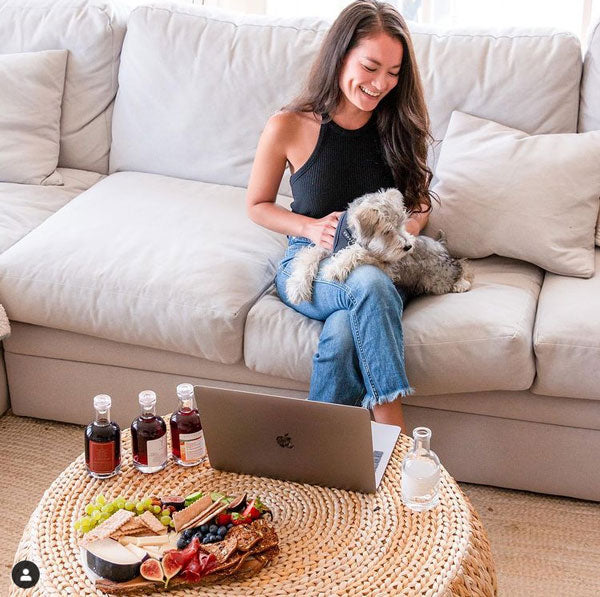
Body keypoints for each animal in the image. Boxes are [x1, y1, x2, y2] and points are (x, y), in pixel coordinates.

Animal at [286, 189, 474, 304]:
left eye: (402, 224)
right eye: (387, 230)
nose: (408, 246)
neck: (349, 236)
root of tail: (441, 246)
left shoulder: (389, 266)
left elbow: (359, 252)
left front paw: (335, 268)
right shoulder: (323, 246)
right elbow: (307, 258)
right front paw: (297, 288)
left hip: (436, 278)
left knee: (462, 266)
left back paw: (461, 284)